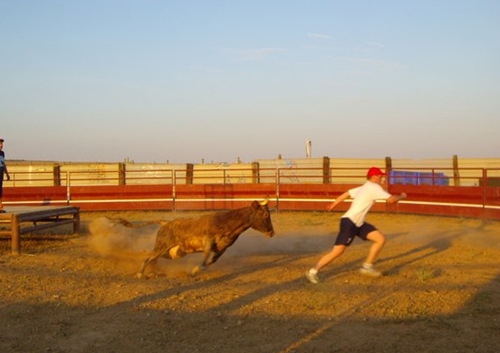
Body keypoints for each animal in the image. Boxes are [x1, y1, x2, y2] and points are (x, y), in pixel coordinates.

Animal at [136, 198, 274, 278]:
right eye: (265, 214)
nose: (272, 232)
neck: (227, 223)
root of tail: (165, 223)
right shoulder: (208, 240)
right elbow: (206, 255)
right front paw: (197, 268)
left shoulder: (222, 249)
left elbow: (212, 260)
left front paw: (197, 269)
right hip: (162, 246)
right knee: (148, 258)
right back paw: (140, 273)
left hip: (174, 253)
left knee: (152, 257)